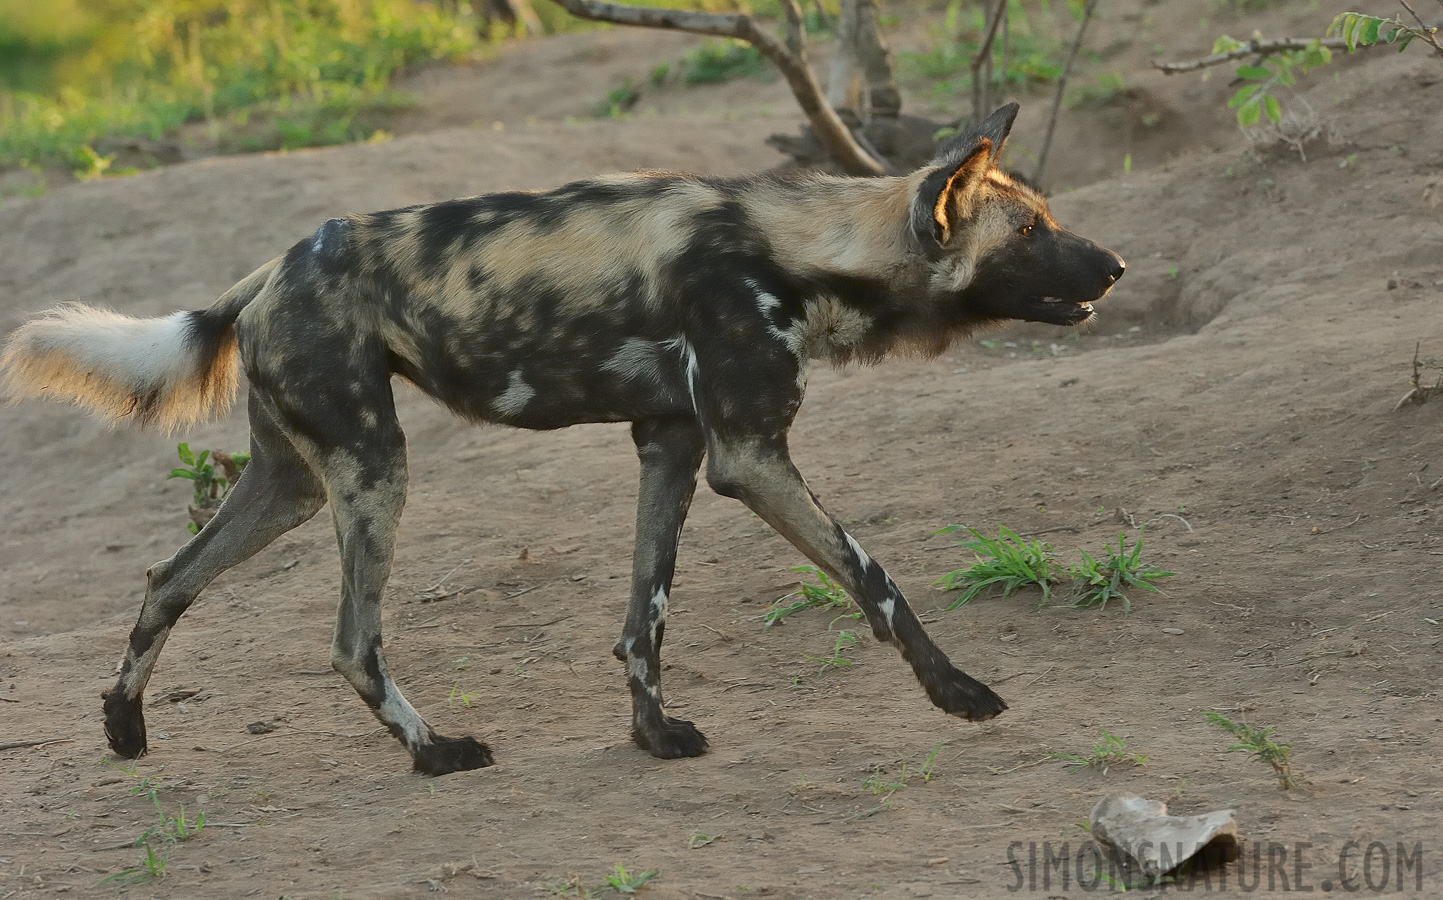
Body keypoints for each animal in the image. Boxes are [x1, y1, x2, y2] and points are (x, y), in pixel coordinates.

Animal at [2, 103, 1125, 773]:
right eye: (1029, 233)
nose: (1114, 266)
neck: (803, 250)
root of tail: (267, 271)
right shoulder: (749, 457)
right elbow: (877, 580)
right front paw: (959, 694)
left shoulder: (673, 446)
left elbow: (645, 619)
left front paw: (653, 735)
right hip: (373, 472)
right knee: (352, 641)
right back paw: (434, 752)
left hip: (293, 485)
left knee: (168, 579)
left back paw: (124, 727)